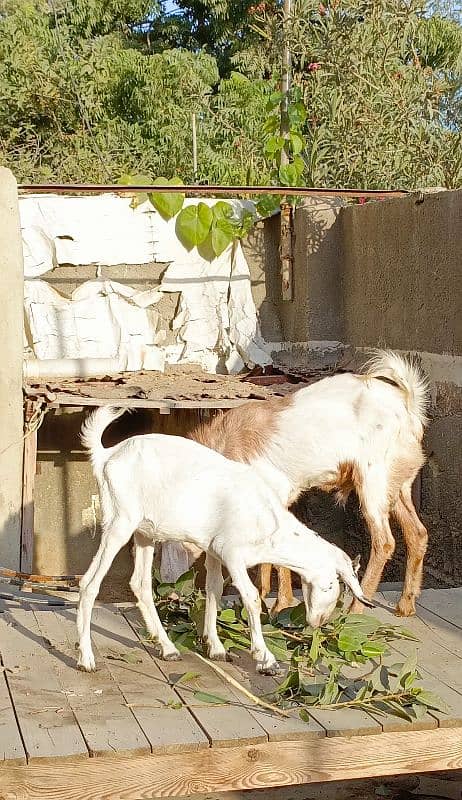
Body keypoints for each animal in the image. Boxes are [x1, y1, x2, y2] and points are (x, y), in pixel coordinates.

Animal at [76, 406, 372, 676]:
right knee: (89, 583)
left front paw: (216, 647)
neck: (268, 521)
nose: (319, 621)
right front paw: (264, 657)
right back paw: (86, 659)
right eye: (332, 584)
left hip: (144, 533)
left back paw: (168, 648)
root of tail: (107, 455)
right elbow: (251, 597)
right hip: (119, 523)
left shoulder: (214, 550)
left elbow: (214, 589)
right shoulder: (233, 554)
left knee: (140, 583)